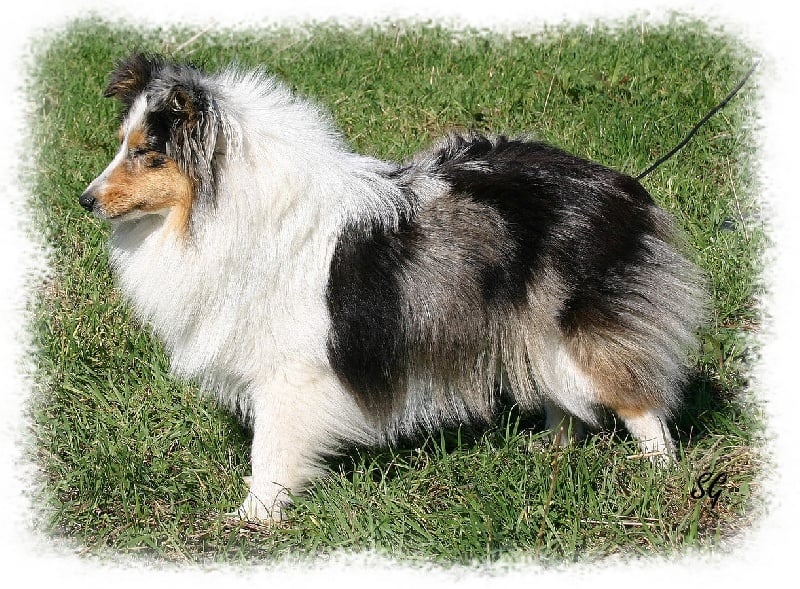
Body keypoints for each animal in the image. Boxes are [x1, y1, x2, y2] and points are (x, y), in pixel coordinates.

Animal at [79, 54, 706, 521]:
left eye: (146, 152)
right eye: (121, 142)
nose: (84, 200)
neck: (223, 206)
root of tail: (622, 186)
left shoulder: (289, 372)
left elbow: (271, 450)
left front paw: (255, 517)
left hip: (575, 333)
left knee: (640, 403)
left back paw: (661, 476)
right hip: (534, 333)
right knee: (564, 400)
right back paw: (546, 450)